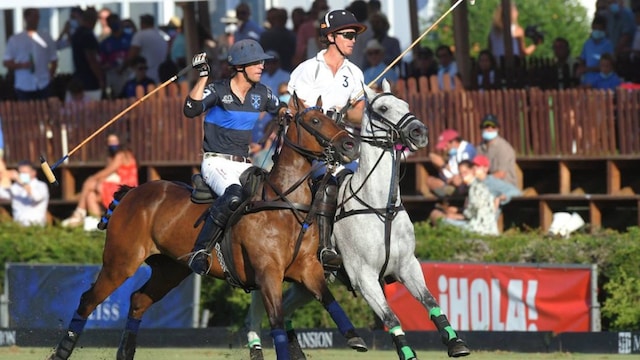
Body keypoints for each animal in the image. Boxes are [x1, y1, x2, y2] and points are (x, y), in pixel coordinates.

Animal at [47, 96, 364, 360]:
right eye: (314, 121)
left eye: (336, 118)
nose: (351, 146)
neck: (284, 205)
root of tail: (132, 192)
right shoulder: (268, 272)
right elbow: (276, 321)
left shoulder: (307, 269)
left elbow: (328, 299)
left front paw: (355, 337)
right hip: (120, 261)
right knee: (88, 300)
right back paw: (60, 352)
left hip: (170, 269)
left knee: (138, 300)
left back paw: (124, 354)